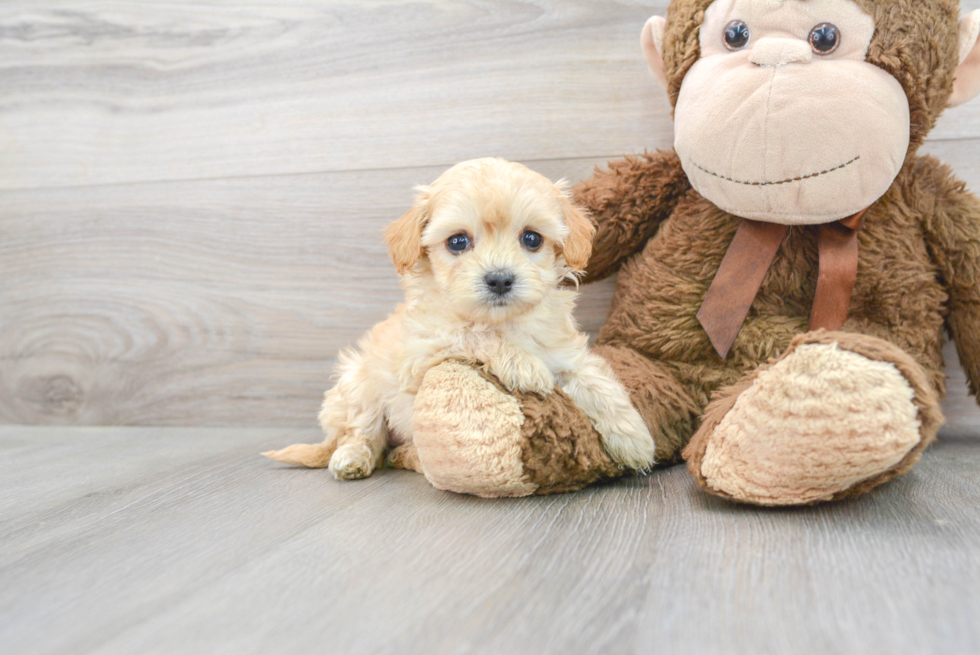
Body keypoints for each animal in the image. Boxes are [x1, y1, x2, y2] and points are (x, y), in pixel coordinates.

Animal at [264, 156, 656, 480]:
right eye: (457, 242)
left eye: (531, 239)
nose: (499, 279)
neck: (502, 320)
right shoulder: (422, 353)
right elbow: (474, 335)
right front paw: (524, 366)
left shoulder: (563, 352)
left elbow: (596, 382)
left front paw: (634, 438)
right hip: (358, 383)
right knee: (362, 433)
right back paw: (352, 458)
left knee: (393, 453)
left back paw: (407, 457)